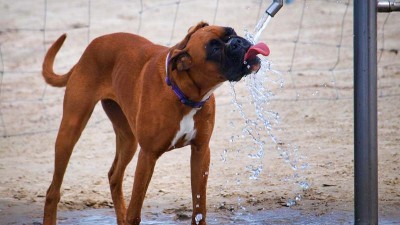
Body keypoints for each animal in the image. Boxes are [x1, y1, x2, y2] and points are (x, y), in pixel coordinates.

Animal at [41, 21, 268, 225]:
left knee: (114, 176)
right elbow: (135, 213)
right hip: (71, 130)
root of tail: (90, 48)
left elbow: (199, 207)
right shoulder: (148, 156)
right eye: (213, 48)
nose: (237, 42)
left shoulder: (201, 152)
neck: (185, 92)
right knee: (53, 190)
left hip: (128, 140)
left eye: (232, 32)